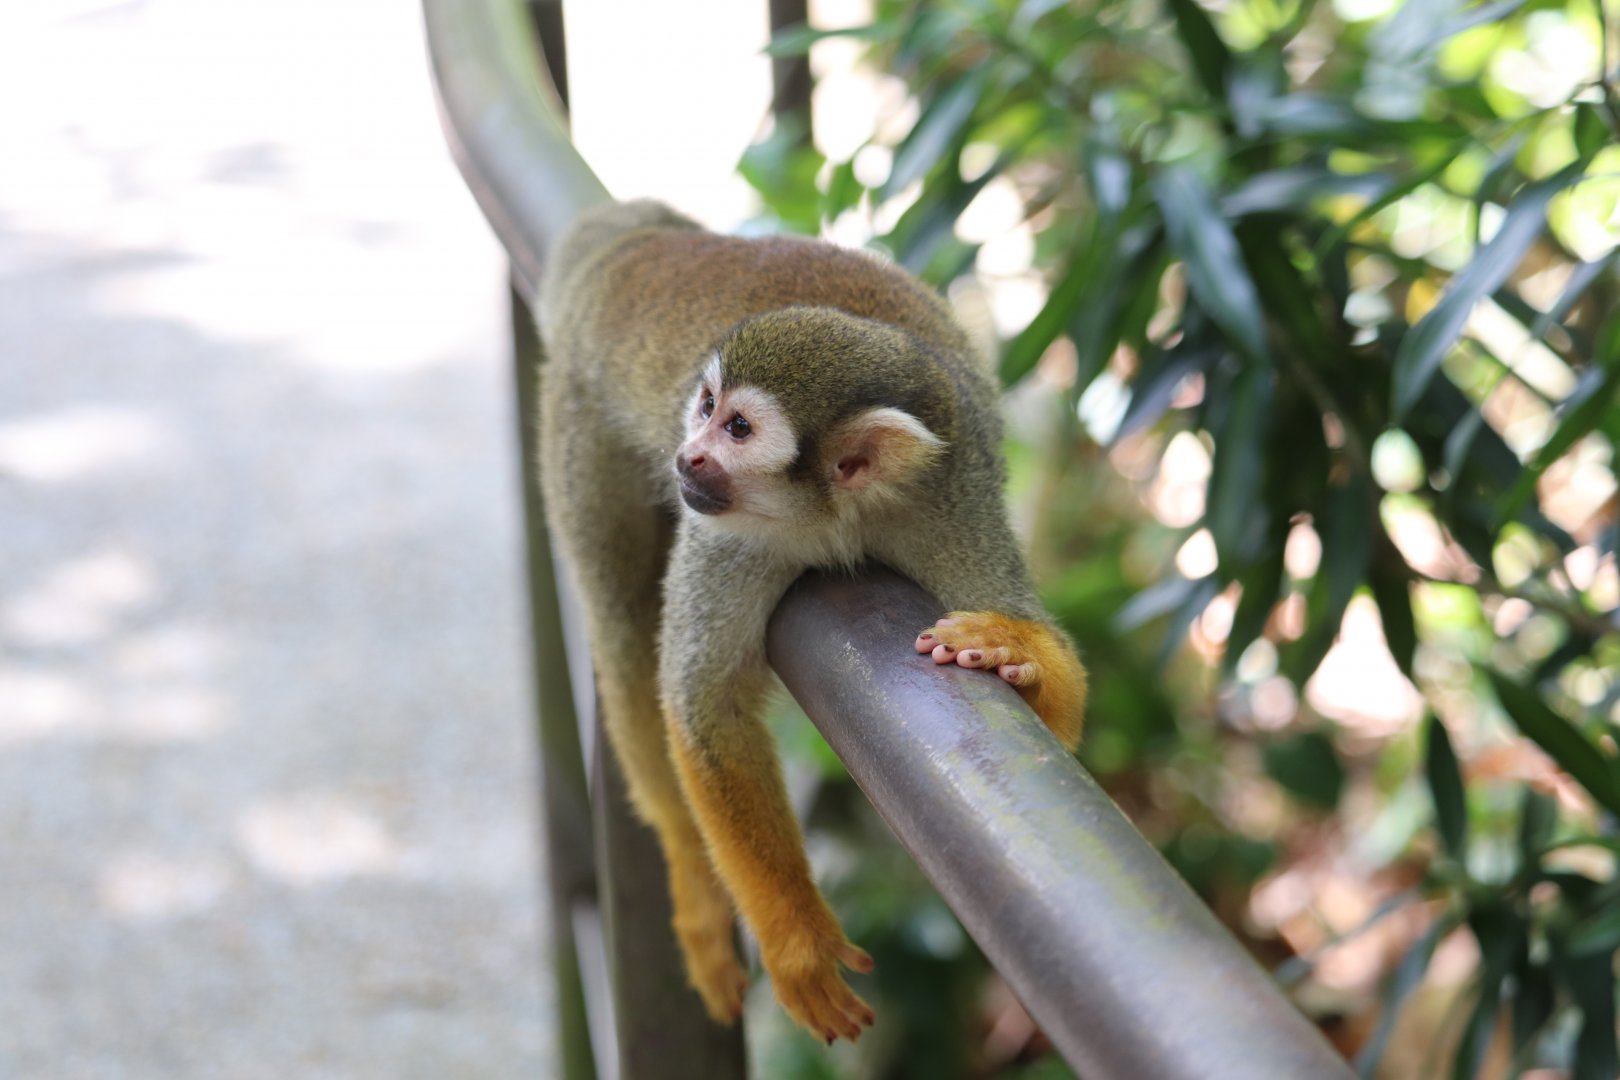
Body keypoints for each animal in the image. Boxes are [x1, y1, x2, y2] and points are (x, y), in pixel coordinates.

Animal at [535, 199, 1088, 1044]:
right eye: (705, 408)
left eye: (737, 429)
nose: (688, 458)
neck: (838, 513)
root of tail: (640, 247)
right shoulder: (731, 534)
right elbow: (706, 709)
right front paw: (795, 938)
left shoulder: (950, 500)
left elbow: (1047, 729)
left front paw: (1013, 653)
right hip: (575, 419)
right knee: (623, 635)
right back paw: (690, 869)